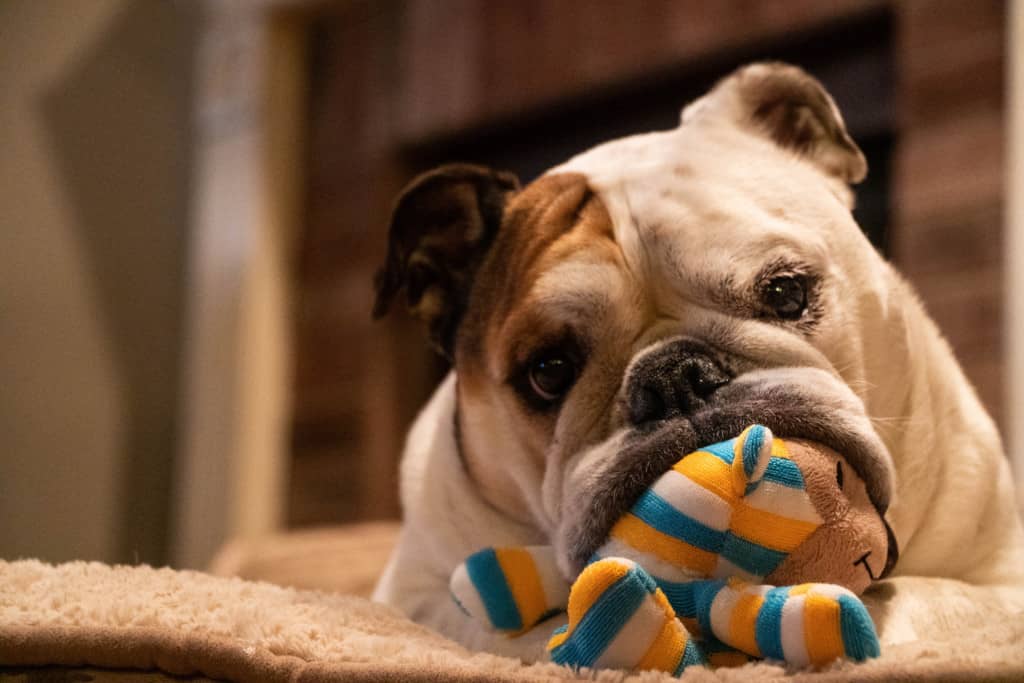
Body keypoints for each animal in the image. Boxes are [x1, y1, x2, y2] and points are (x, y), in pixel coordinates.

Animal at [370, 63, 1024, 663]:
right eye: (548, 371)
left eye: (786, 292)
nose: (676, 376)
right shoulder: (416, 597)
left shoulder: (999, 576)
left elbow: (926, 596)